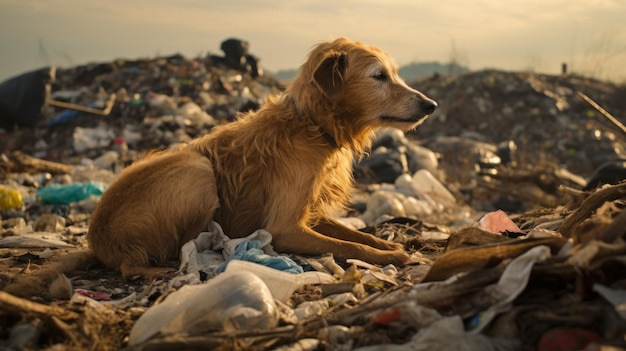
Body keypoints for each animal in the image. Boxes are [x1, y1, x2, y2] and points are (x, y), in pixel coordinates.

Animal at [86, 37, 438, 280]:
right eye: (379, 76)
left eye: (393, 74)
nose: (431, 105)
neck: (313, 126)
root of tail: (98, 239)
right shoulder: (285, 228)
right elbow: (349, 245)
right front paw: (388, 256)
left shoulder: (312, 213)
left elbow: (357, 234)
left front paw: (387, 246)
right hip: (197, 171)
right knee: (150, 258)